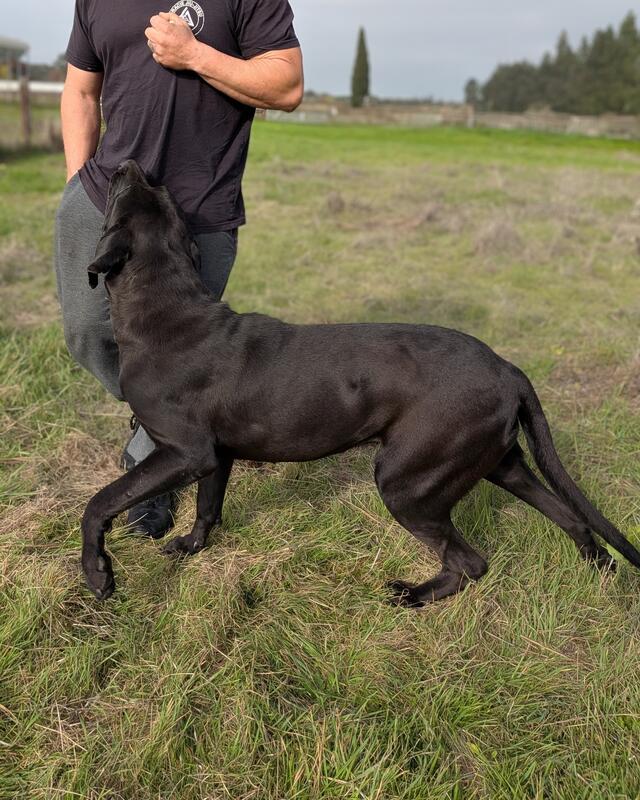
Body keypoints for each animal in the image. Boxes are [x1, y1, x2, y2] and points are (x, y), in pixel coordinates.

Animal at [80, 159, 640, 606]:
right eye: (159, 199)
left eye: (127, 199)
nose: (129, 164)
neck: (167, 310)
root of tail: (506, 367)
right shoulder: (217, 454)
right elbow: (207, 508)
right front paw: (189, 548)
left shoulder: (184, 452)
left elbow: (102, 501)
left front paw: (99, 573)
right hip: (501, 464)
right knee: (573, 519)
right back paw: (601, 574)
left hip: (406, 480)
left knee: (470, 562)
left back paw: (412, 596)